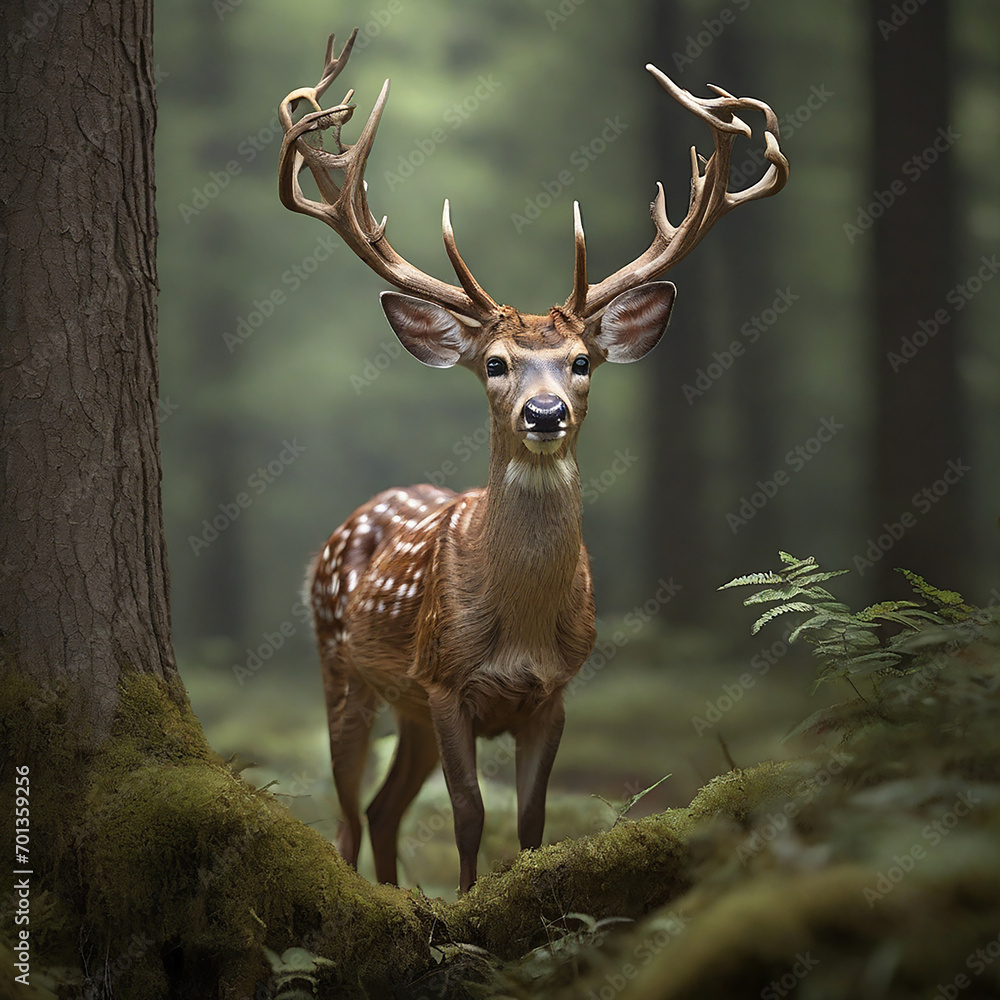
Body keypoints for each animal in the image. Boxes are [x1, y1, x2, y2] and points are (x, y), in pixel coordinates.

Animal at [277, 29, 787, 893]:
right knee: (346, 816)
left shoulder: (552, 694)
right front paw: (464, 910)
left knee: (381, 809)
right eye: (495, 363)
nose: (543, 414)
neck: (515, 628)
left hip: (405, 707)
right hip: (341, 667)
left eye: (582, 361)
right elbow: (468, 816)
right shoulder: (445, 680)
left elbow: (533, 824)